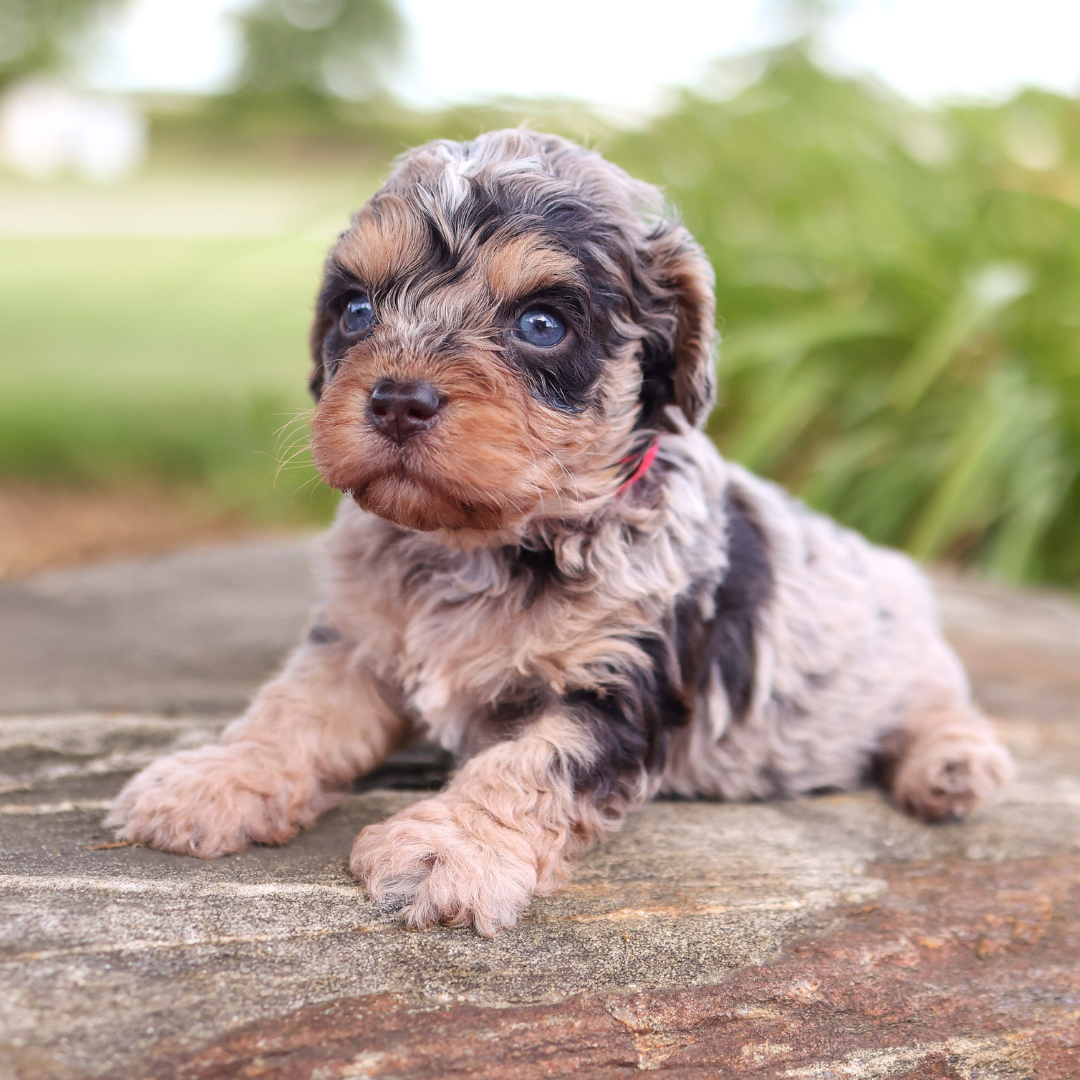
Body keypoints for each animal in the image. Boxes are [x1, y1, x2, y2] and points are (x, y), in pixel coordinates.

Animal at [109, 128, 1010, 937]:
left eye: (542, 325)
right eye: (356, 310)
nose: (396, 399)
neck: (479, 546)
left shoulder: (620, 682)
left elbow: (525, 764)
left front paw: (450, 851)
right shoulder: (354, 645)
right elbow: (287, 713)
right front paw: (213, 781)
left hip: (905, 651)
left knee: (940, 702)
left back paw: (953, 767)